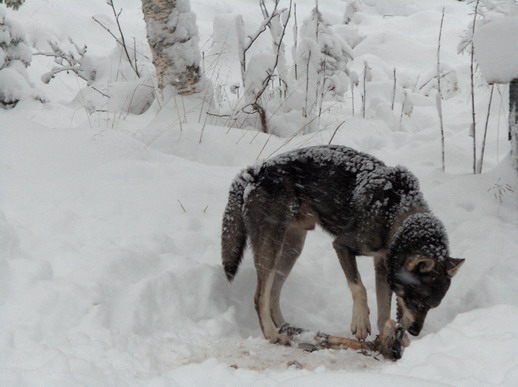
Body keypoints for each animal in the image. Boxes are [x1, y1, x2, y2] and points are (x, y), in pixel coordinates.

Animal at [221, 146, 466, 346]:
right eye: (416, 300)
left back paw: (289, 329)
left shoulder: (382, 266)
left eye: (432, 306)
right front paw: (361, 323)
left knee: (273, 294)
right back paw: (272, 334)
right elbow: (359, 288)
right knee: (260, 297)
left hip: (292, 250)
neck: (393, 212)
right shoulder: (342, 246)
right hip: (272, 248)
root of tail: (254, 170)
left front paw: (387, 336)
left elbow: (384, 309)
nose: (415, 331)